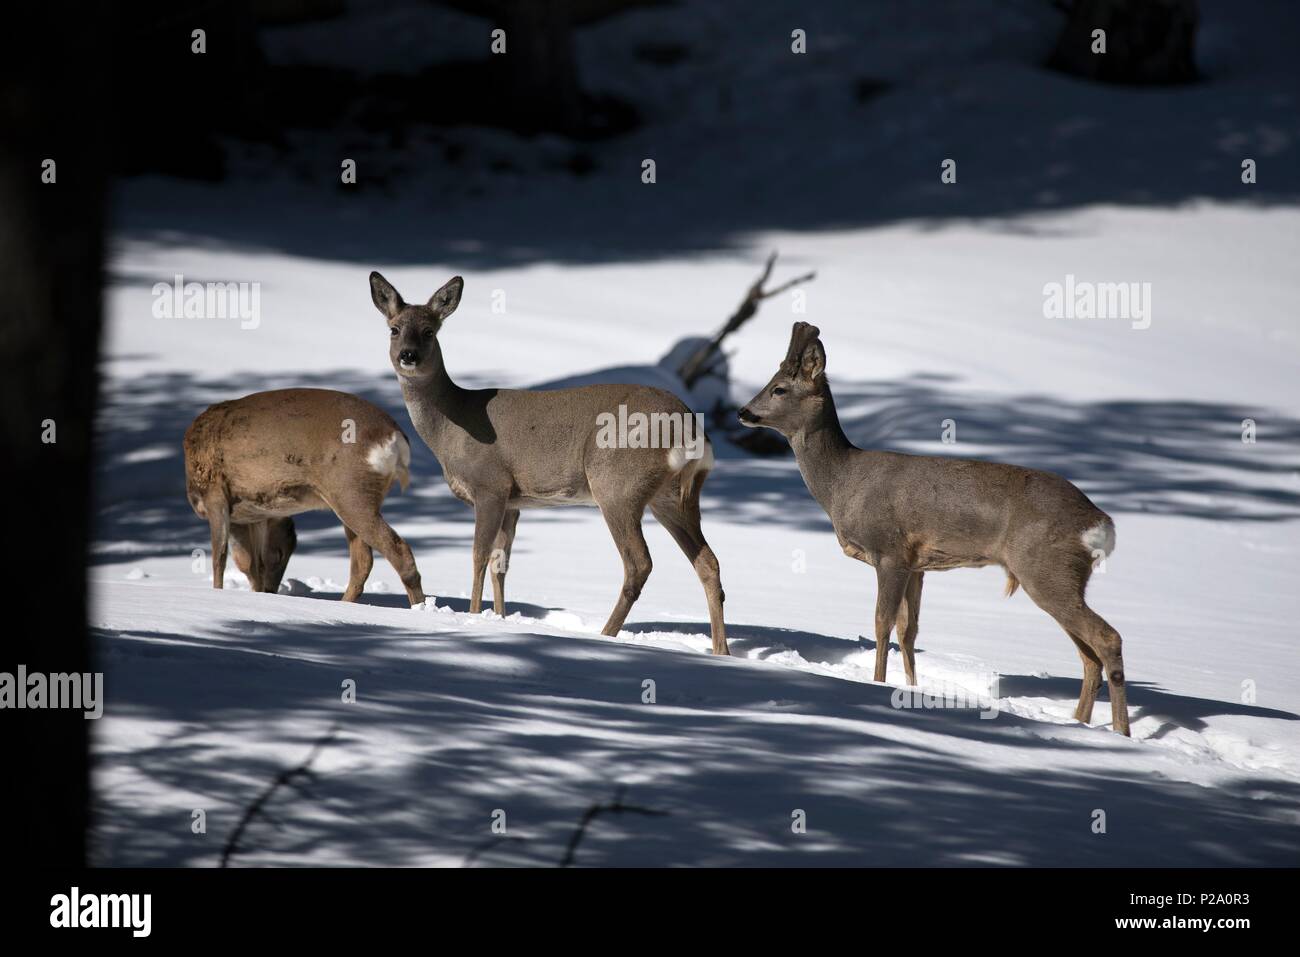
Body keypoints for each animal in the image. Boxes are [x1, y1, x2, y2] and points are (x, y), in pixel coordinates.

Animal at [183, 384, 423, 600]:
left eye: (282, 555)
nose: (271, 590)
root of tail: (395, 436)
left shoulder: (214, 493)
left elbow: (220, 557)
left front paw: (218, 593)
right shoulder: (255, 515)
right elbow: (252, 564)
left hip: (351, 493)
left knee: (398, 551)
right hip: (356, 498)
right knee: (363, 561)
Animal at [369, 269, 733, 657]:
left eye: (430, 331)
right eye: (394, 328)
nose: (408, 355)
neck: (452, 426)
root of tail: (689, 426)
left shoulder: (490, 485)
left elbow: (479, 556)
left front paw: (472, 616)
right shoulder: (514, 502)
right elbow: (501, 563)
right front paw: (498, 618)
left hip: (616, 484)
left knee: (639, 563)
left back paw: (605, 635)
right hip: (672, 496)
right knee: (708, 562)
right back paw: (721, 651)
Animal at [743, 325, 1128, 738]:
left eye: (779, 388)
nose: (742, 411)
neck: (843, 484)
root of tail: (1099, 521)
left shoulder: (890, 551)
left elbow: (881, 623)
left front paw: (876, 684)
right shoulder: (917, 565)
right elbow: (908, 630)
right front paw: (910, 688)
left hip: (1045, 569)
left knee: (1106, 637)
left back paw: (1122, 731)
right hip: (1063, 577)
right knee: (1088, 654)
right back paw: (1080, 723)